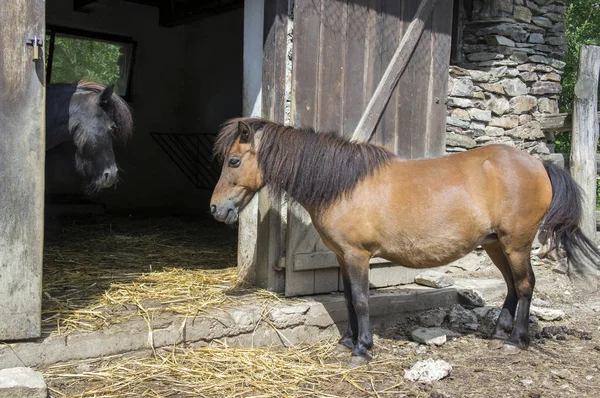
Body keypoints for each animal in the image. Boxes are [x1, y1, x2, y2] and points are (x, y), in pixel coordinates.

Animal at [211, 117, 600, 360]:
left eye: (234, 161)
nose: (216, 209)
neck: (343, 185)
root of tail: (538, 164)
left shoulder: (357, 255)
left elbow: (361, 301)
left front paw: (362, 349)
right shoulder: (342, 256)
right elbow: (349, 300)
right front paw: (349, 340)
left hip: (516, 243)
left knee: (525, 284)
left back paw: (517, 340)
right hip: (494, 244)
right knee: (510, 285)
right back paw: (499, 333)